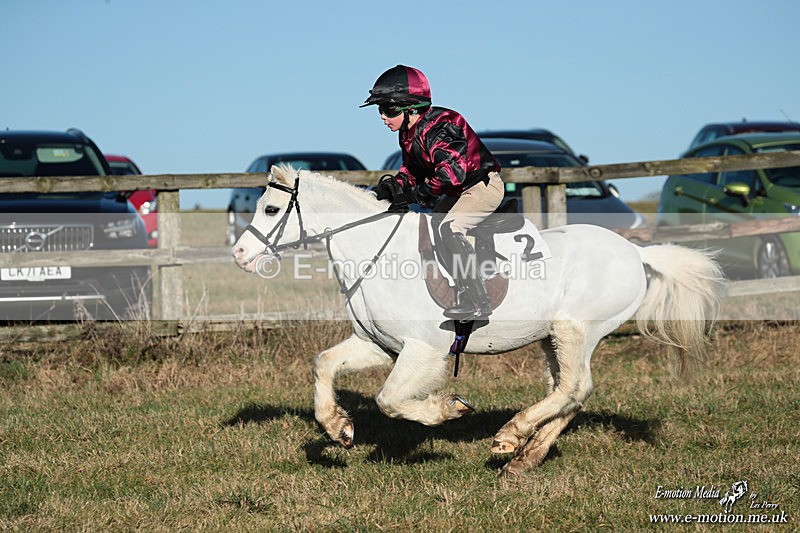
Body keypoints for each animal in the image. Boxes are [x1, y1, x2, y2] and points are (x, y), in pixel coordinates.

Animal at [232, 165, 724, 477]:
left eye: (270, 210)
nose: (239, 254)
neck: (376, 250)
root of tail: (637, 253)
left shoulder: (423, 351)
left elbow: (390, 400)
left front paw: (449, 408)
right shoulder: (378, 344)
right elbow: (324, 364)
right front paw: (339, 429)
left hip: (576, 330)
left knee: (574, 388)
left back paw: (510, 437)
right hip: (552, 337)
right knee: (570, 392)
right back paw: (523, 457)